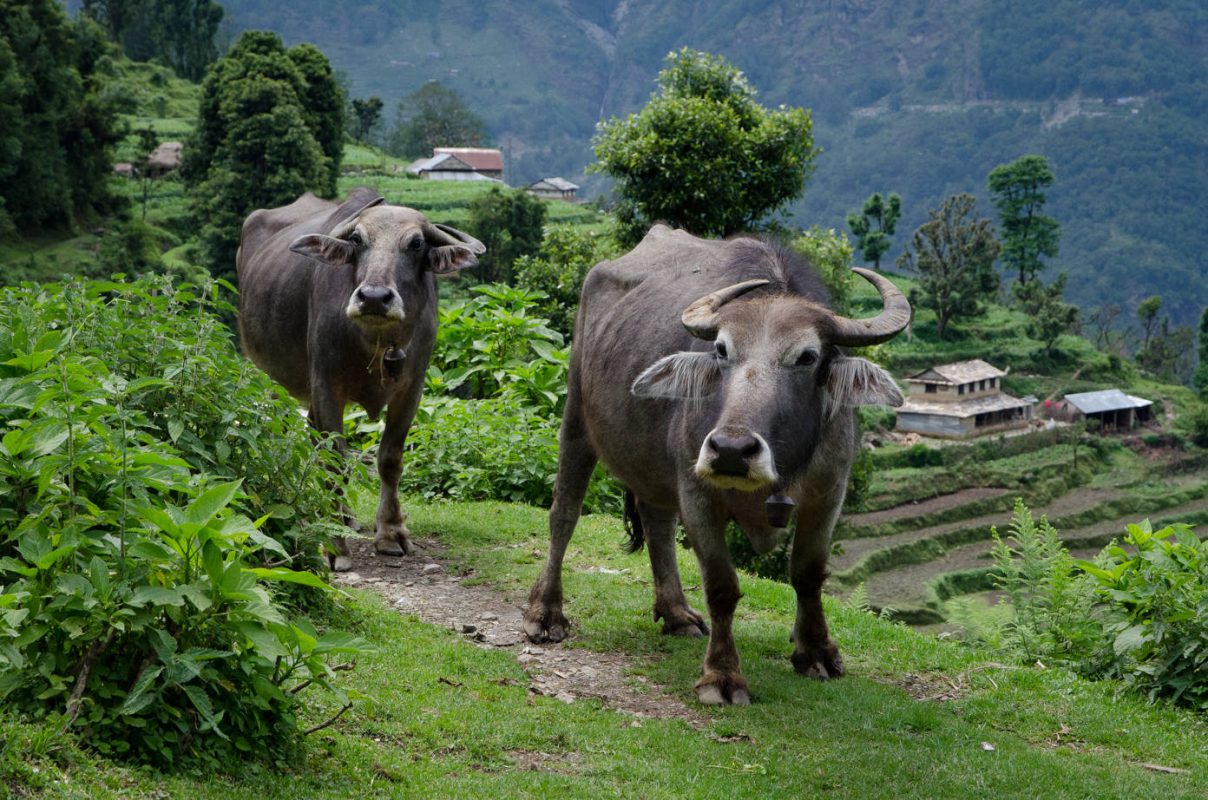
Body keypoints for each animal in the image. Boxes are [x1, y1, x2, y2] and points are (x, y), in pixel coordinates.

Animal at [235, 186, 480, 577]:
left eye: (415, 244)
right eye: (356, 240)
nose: (374, 297)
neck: (375, 342)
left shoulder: (412, 388)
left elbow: (390, 458)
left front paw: (391, 533)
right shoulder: (325, 386)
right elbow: (335, 462)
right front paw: (334, 546)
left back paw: (344, 517)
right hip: (267, 375)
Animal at [524, 225, 908, 710]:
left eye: (807, 356)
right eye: (723, 350)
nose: (729, 450)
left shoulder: (828, 491)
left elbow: (807, 573)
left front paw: (816, 652)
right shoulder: (697, 492)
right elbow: (722, 586)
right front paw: (722, 676)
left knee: (656, 521)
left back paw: (675, 613)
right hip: (576, 416)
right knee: (565, 513)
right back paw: (545, 613)